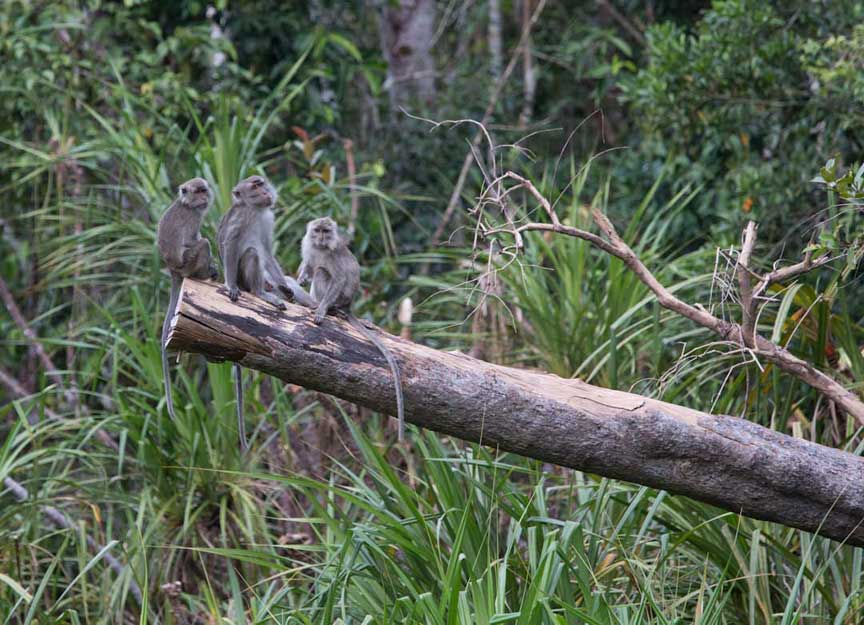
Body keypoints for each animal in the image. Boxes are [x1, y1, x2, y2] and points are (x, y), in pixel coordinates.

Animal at [217, 174, 317, 450]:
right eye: (255, 186)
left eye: (261, 183)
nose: (266, 193)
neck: (256, 211)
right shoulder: (241, 219)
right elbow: (230, 245)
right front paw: (229, 285)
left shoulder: (267, 219)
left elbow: (268, 252)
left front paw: (285, 287)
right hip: (243, 278)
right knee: (251, 254)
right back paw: (259, 292)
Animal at [298, 217, 406, 441]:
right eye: (317, 230)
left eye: (326, 231)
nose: (321, 238)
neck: (320, 248)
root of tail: (349, 305)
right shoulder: (308, 246)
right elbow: (310, 265)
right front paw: (302, 276)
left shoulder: (333, 254)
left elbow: (338, 278)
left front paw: (321, 310)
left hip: (340, 298)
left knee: (323, 273)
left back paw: (325, 307)